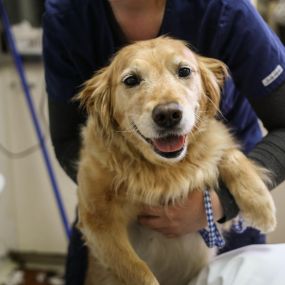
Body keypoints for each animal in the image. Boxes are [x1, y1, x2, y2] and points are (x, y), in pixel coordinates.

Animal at [75, 36, 276, 284]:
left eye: (184, 71)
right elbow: (139, 271)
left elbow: (228, 153)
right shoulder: (97, 221)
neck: (163, 170)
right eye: (131, 80)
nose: (168, 114)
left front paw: (262, 206)